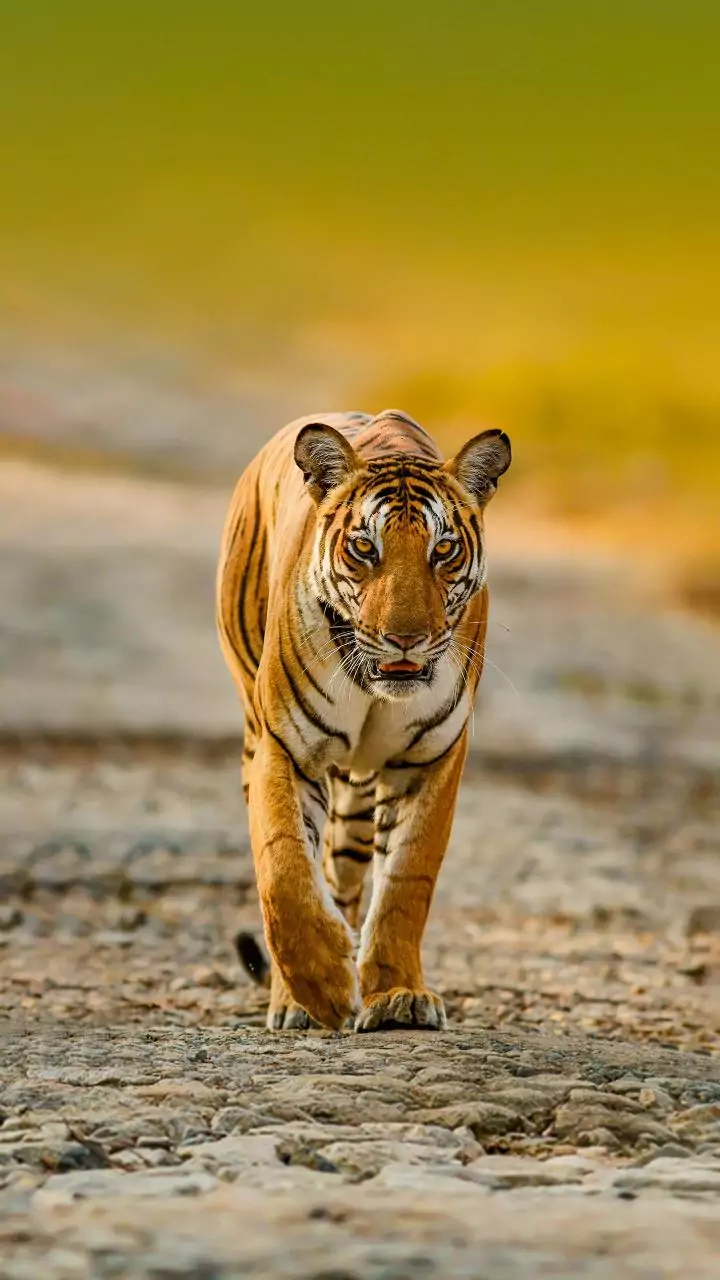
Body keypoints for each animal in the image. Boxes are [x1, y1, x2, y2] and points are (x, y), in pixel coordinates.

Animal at [216, 409, 511, 1031]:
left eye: (443, 549)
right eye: (363, 547)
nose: (406, 638)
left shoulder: (432, 760)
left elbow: (407, 882)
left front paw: (399, 994)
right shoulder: (284, 748)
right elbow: (283, 869)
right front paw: (322, 988)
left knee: (346, 876)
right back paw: (293, 1000)